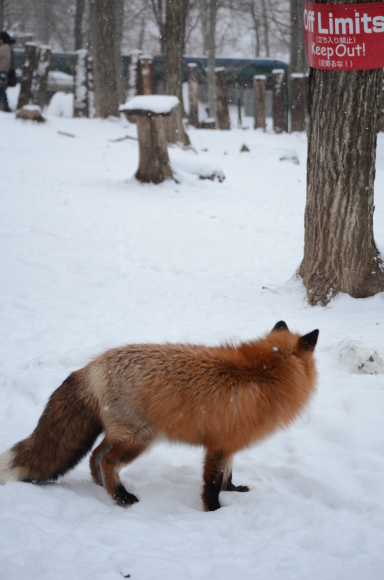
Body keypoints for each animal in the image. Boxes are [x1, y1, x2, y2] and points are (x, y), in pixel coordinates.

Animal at [0, 322, 318, 512]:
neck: (263, 375)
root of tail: (94, 365)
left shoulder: (229, 443)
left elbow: (228, 477)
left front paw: (235, 491)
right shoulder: (218, 447)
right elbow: (212, 485)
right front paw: (215, 513)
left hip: (123, 434)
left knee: (95, 457)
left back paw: (105, 488)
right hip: (139, 439)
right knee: (107, 461)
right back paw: (121, 497)